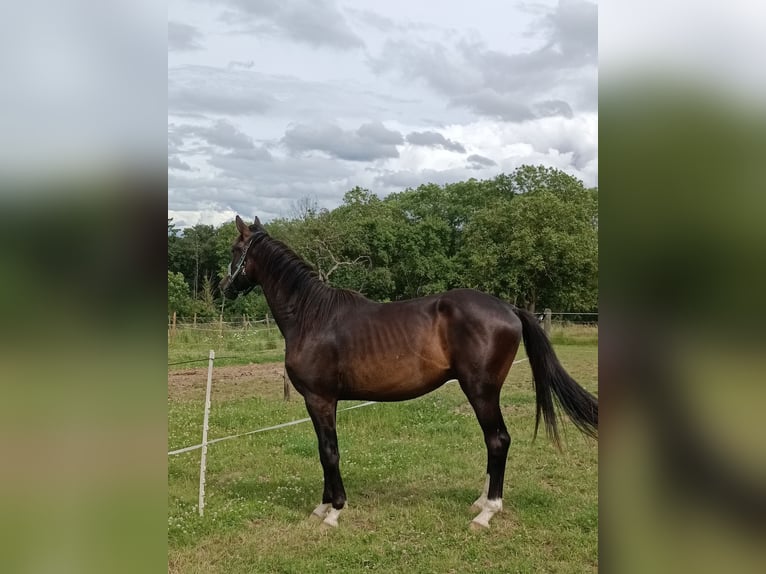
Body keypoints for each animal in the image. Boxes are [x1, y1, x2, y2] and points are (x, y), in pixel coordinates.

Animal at [219, 215, 596, 532]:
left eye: (236, 250)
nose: (223, 286)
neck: (312, 316)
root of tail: (509, 308)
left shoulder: (319, 398)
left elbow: (329, 451)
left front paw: (334, 511)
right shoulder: (324, 402)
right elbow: (324, 450)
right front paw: (323, 506)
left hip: (481, 391)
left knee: (498, 440)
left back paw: (488, 511)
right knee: (493, 442)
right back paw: (480, 502)